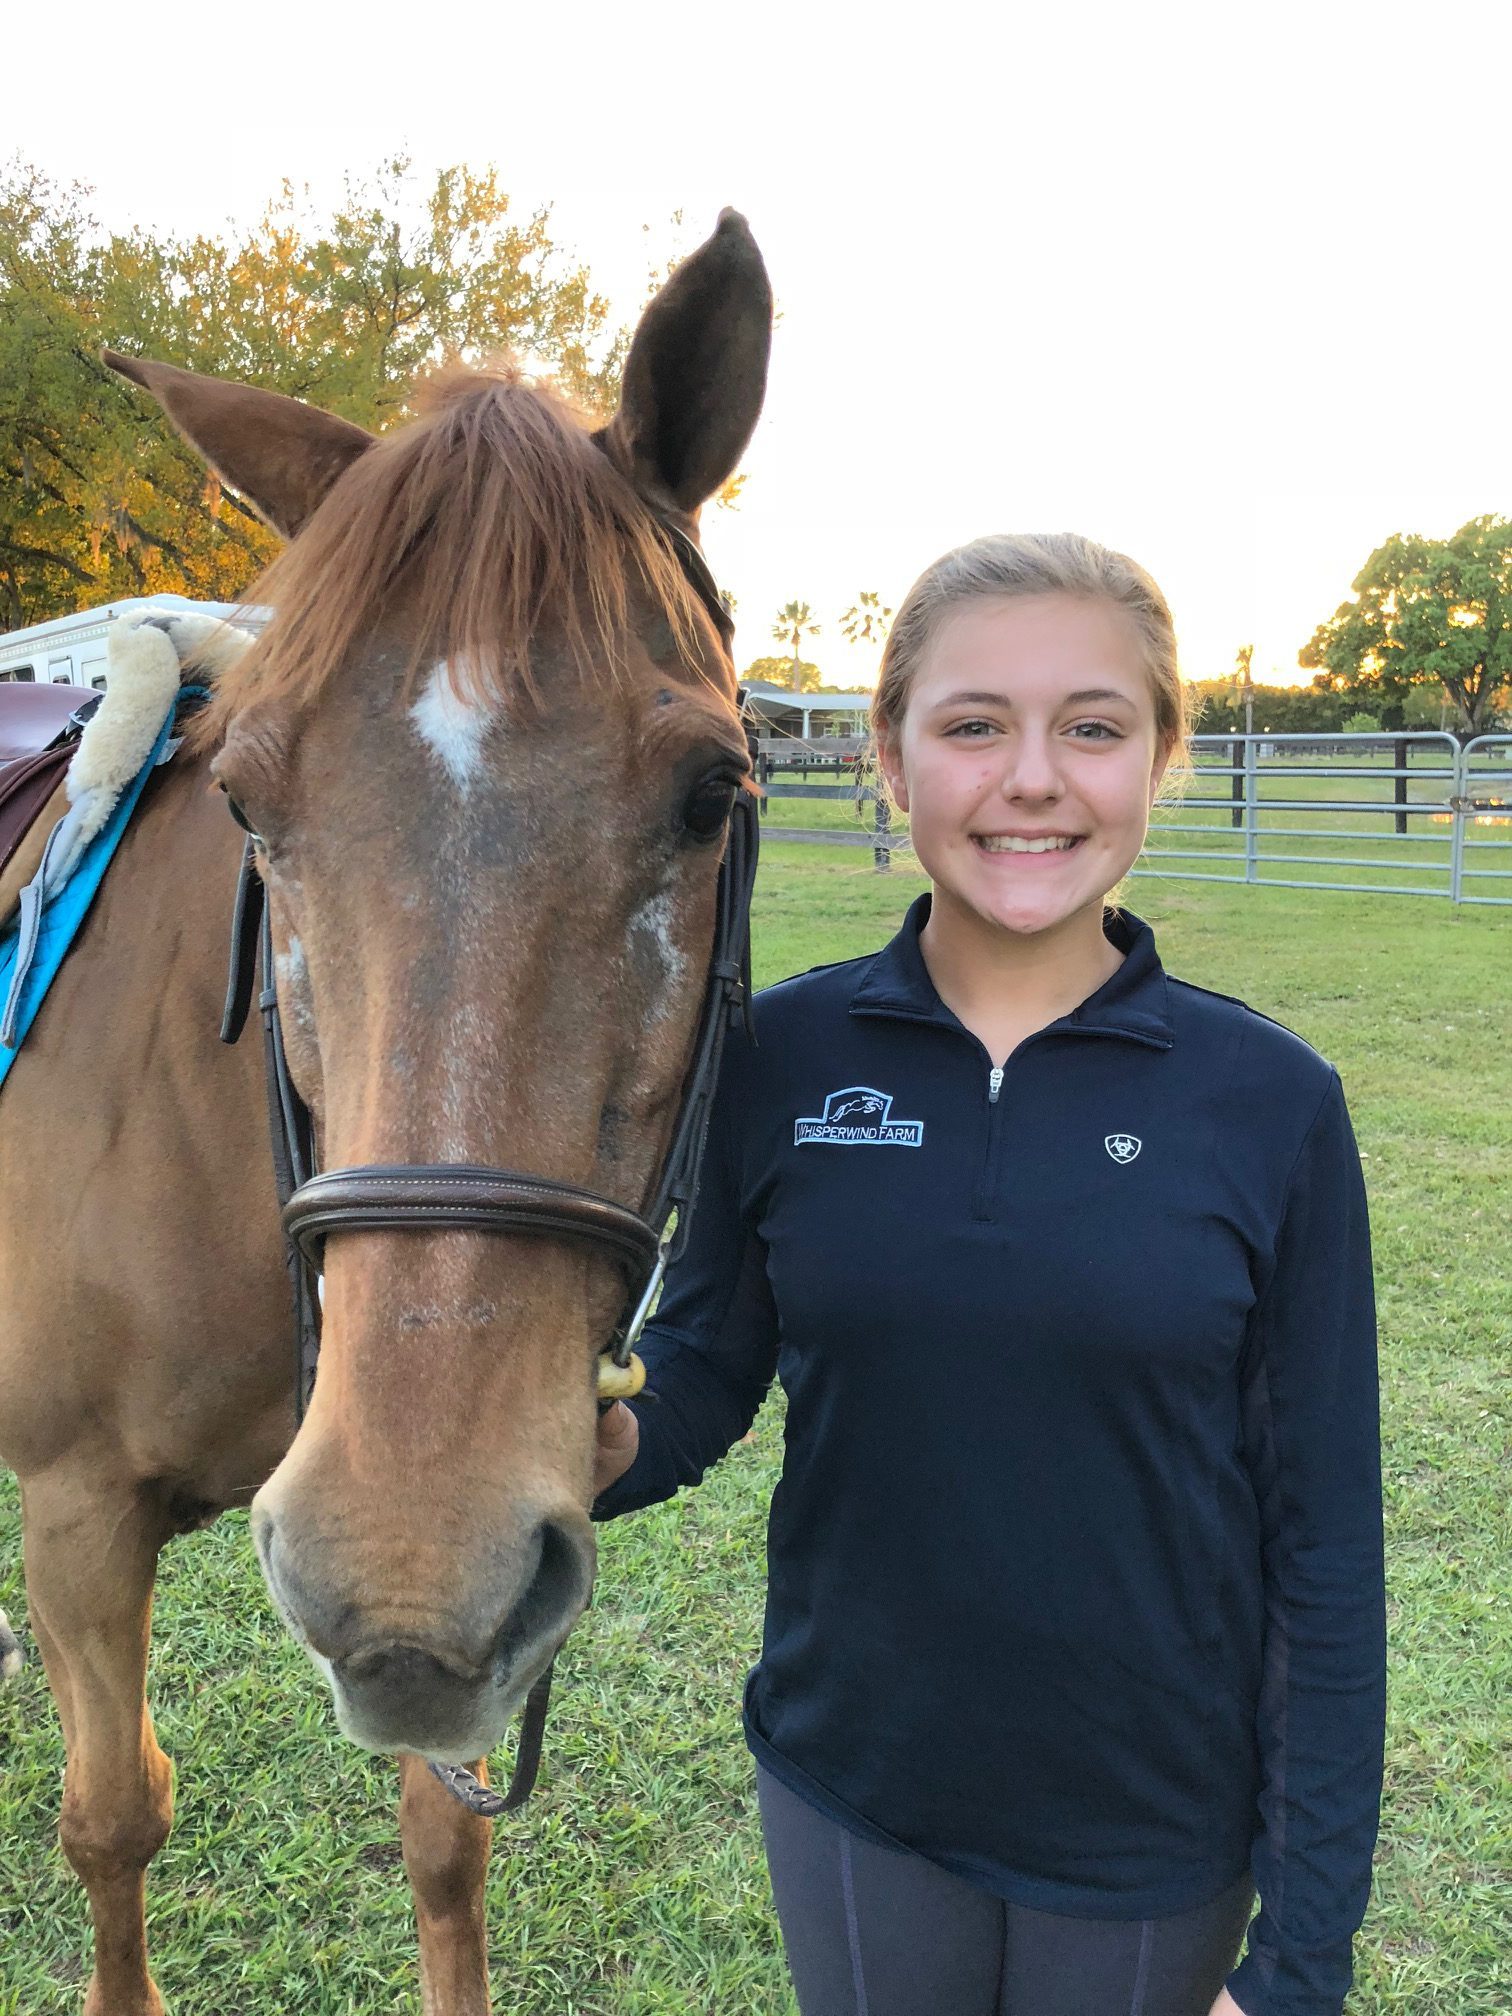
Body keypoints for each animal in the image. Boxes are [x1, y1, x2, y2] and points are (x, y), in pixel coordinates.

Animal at [0, 210, 772, 2016]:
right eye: (245, 798)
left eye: (713, 791)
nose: (407, 1568)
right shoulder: (77, 1515)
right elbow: (115, 1819)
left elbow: (443, 1845)